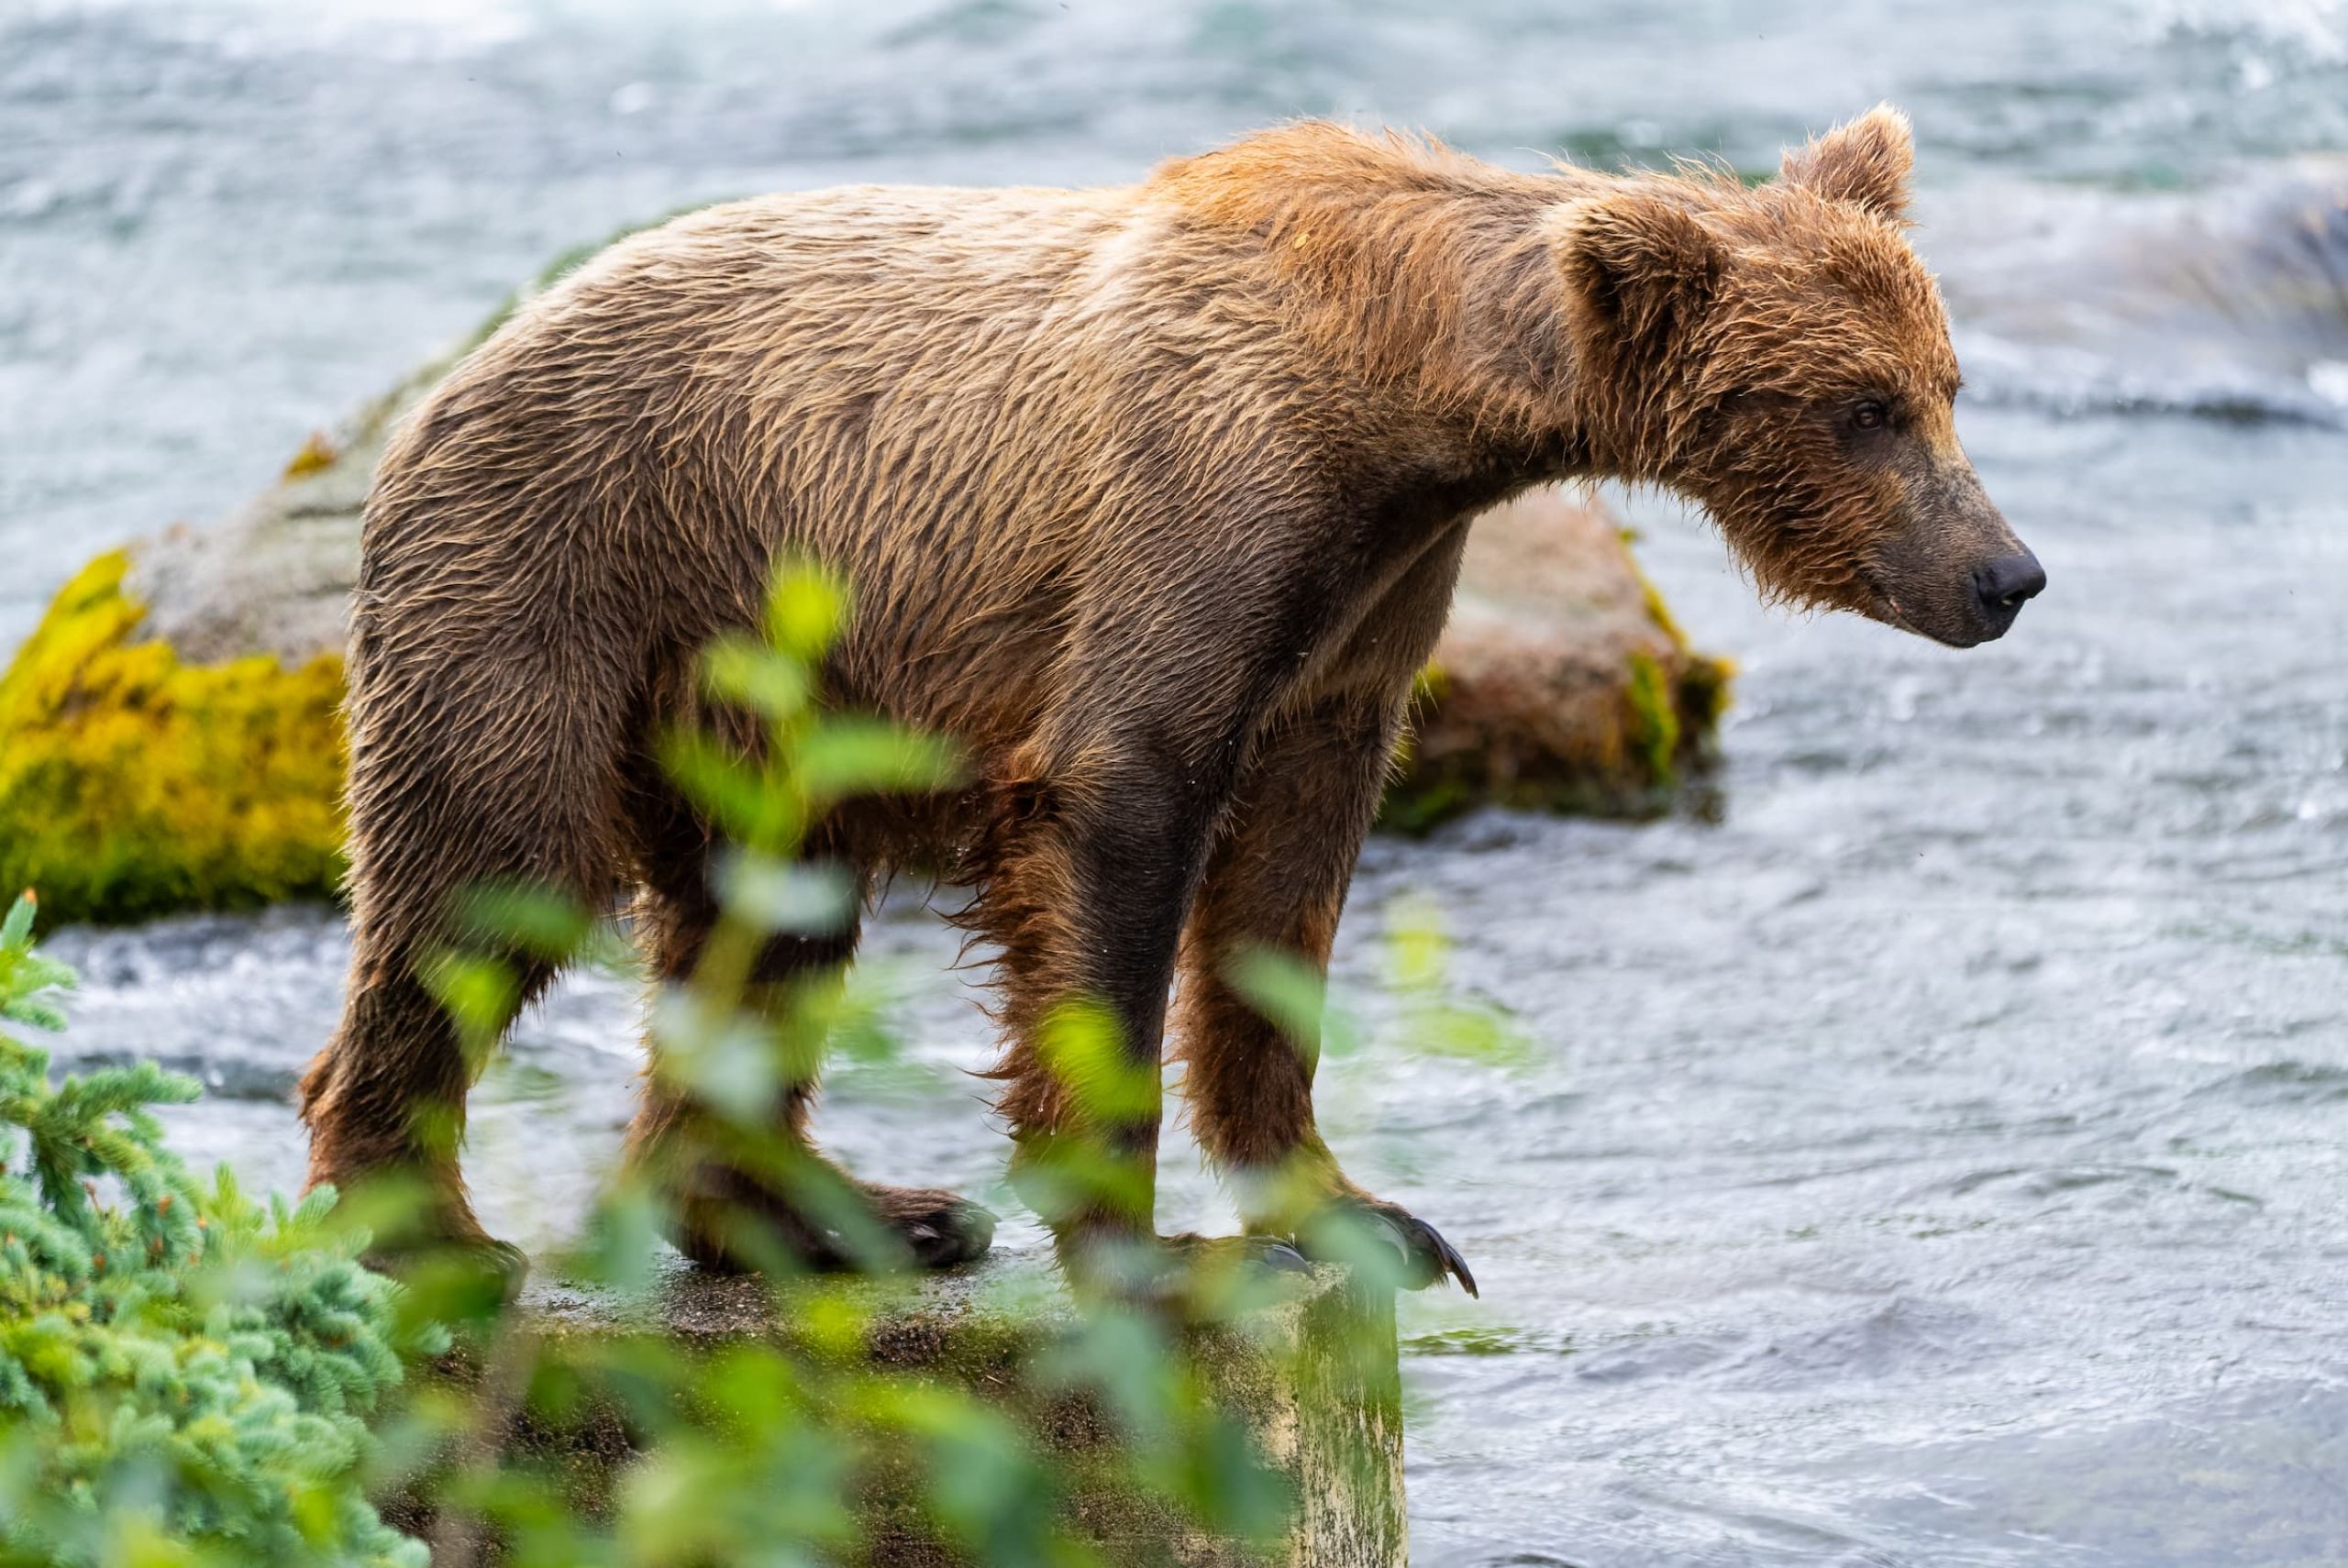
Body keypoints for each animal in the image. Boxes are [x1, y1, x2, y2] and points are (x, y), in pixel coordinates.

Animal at [303, 104, 2047, 1296]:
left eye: (1948, 383)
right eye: (1861, 407)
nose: (2006, 573)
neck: (1411, 403)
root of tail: (434, 392)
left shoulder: (1368, 604)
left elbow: (1287, 894)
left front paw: (1366, 1215)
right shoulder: (1202, 508)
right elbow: (1122, 812)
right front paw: (1151, 1248)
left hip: (766, 700)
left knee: (765, 915)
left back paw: (867, 1215)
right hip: (559, 580)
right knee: (489, 873)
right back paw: (431, 1227)